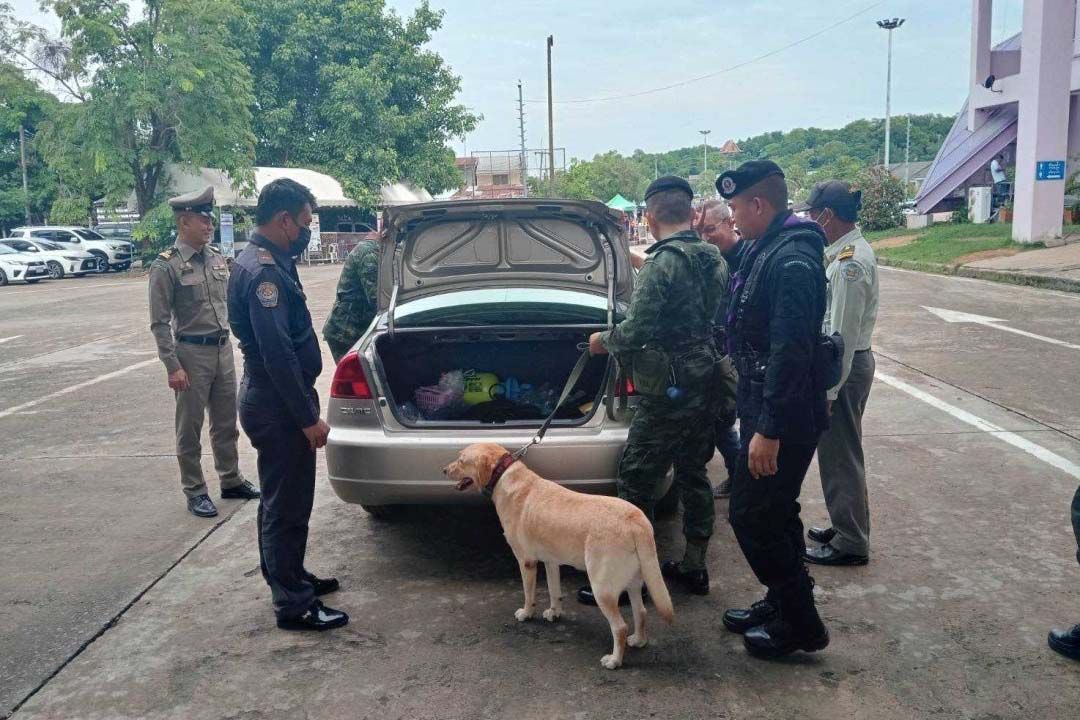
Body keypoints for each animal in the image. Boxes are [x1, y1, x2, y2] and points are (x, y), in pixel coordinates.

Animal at [442, 442, 669, 673]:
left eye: (461, 460)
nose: (444, 470)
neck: (504, 475)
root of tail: (636, 521)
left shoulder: (526, 561)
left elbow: (529, 594)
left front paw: (526, 613)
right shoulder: (551, 561)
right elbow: (554, 591)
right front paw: (554, 612)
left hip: (601, 588)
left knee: (620, 627)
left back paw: (614, 660)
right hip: (634, 581)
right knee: (641, 612)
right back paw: (639, 640)